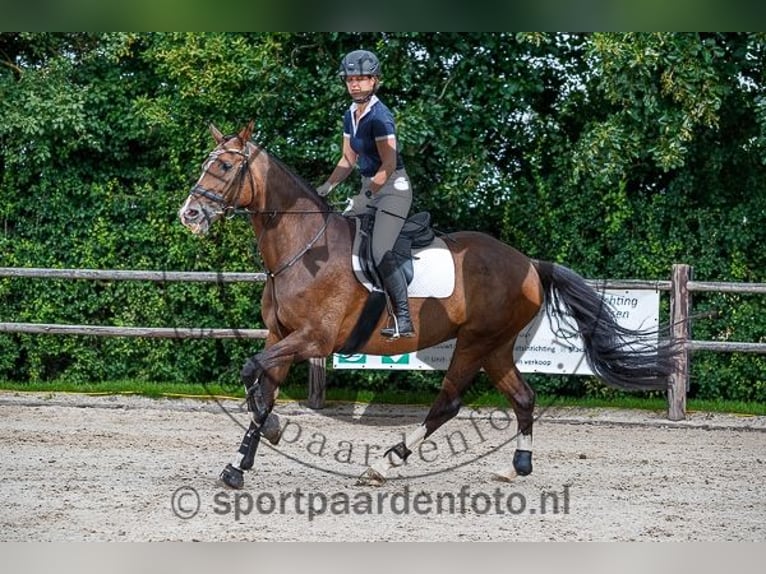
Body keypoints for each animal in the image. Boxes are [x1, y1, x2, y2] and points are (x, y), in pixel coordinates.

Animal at [180, 121, 680, 490]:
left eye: (225, 165)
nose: (190, 213)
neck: (302, 248)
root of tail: (529, 264)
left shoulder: (313, 340)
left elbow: (251, 371)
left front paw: (273, 431)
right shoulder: (281, 334)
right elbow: (262, 389)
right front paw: (239, 465)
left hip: (475, 342)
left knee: (449, 403)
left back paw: (384, 464)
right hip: (496, 347)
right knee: (523, 397)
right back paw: (516, 466)